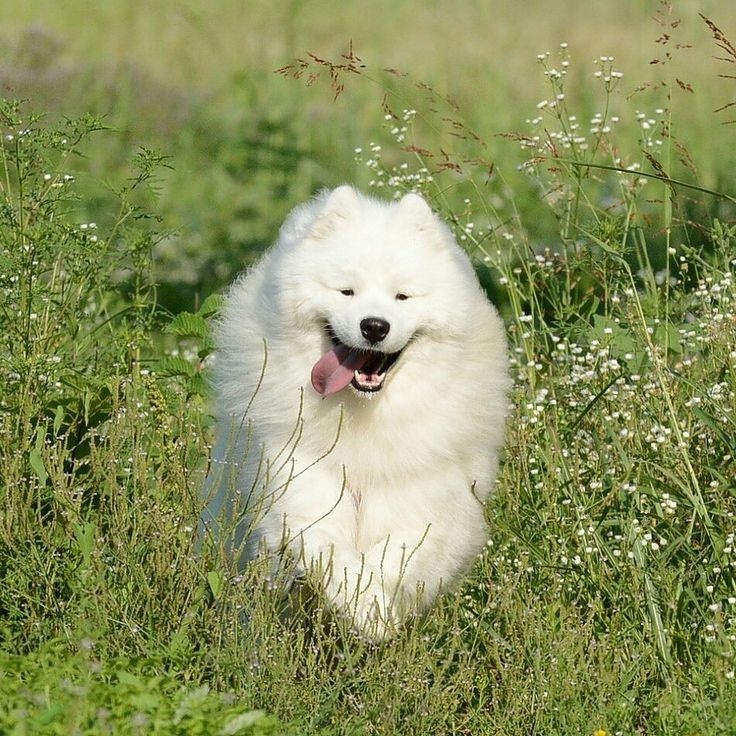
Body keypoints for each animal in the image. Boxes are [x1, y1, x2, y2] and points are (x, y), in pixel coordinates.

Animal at [203, 185, 512, 640]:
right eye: (346, 291)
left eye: (402, 296)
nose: (374, 326)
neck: (363, 417)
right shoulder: (300, 484)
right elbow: (328, 553)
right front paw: (364, 608)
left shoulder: (427, 499)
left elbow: (396, 556)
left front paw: (374, 613)